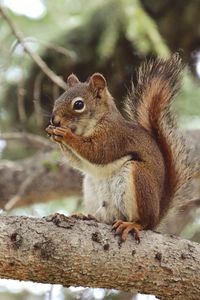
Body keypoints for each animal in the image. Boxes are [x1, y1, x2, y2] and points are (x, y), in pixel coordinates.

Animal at [45, 54, 192, 241]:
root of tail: (157, 215)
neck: (94, 124)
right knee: (107, 218)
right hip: (91, 188)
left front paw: (66, 135)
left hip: (139, 178)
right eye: (57, 100)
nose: (54, 120)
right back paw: (87, 216)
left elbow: (98, 153)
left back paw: (132, 224)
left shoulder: (114, 137)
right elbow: (78, 161)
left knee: (143, 222)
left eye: (78, 105)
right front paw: (52, 133)